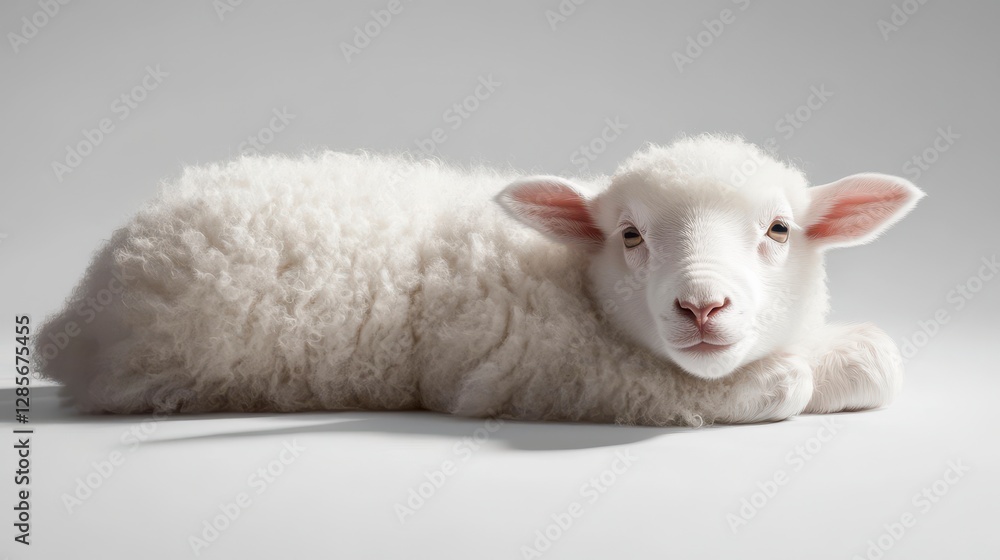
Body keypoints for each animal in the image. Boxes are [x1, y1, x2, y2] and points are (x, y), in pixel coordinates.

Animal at [35, 134, 924, 426]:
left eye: (779, 230)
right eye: (630, 235)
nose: (702, 305)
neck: (567, 276)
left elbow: (881, 361)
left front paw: (844, 359)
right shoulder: (541, 368)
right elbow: (754, 385)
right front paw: (787, 379)